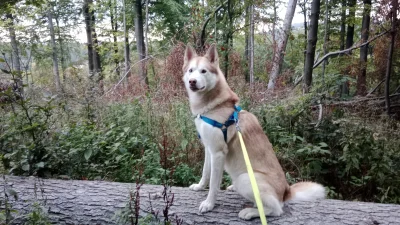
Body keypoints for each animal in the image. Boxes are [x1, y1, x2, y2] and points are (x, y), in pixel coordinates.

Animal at [183, 44, 326, 220]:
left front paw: (209, 204)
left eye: (203, 71)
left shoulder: (218, 152)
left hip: (244, 179)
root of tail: (286, 191)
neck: (214, 106)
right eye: (191, 70)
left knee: (276, 209)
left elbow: (214, 184)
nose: (192, 81)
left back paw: (250, 212)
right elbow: (205, 172)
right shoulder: (209, 149)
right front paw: (199, 186)